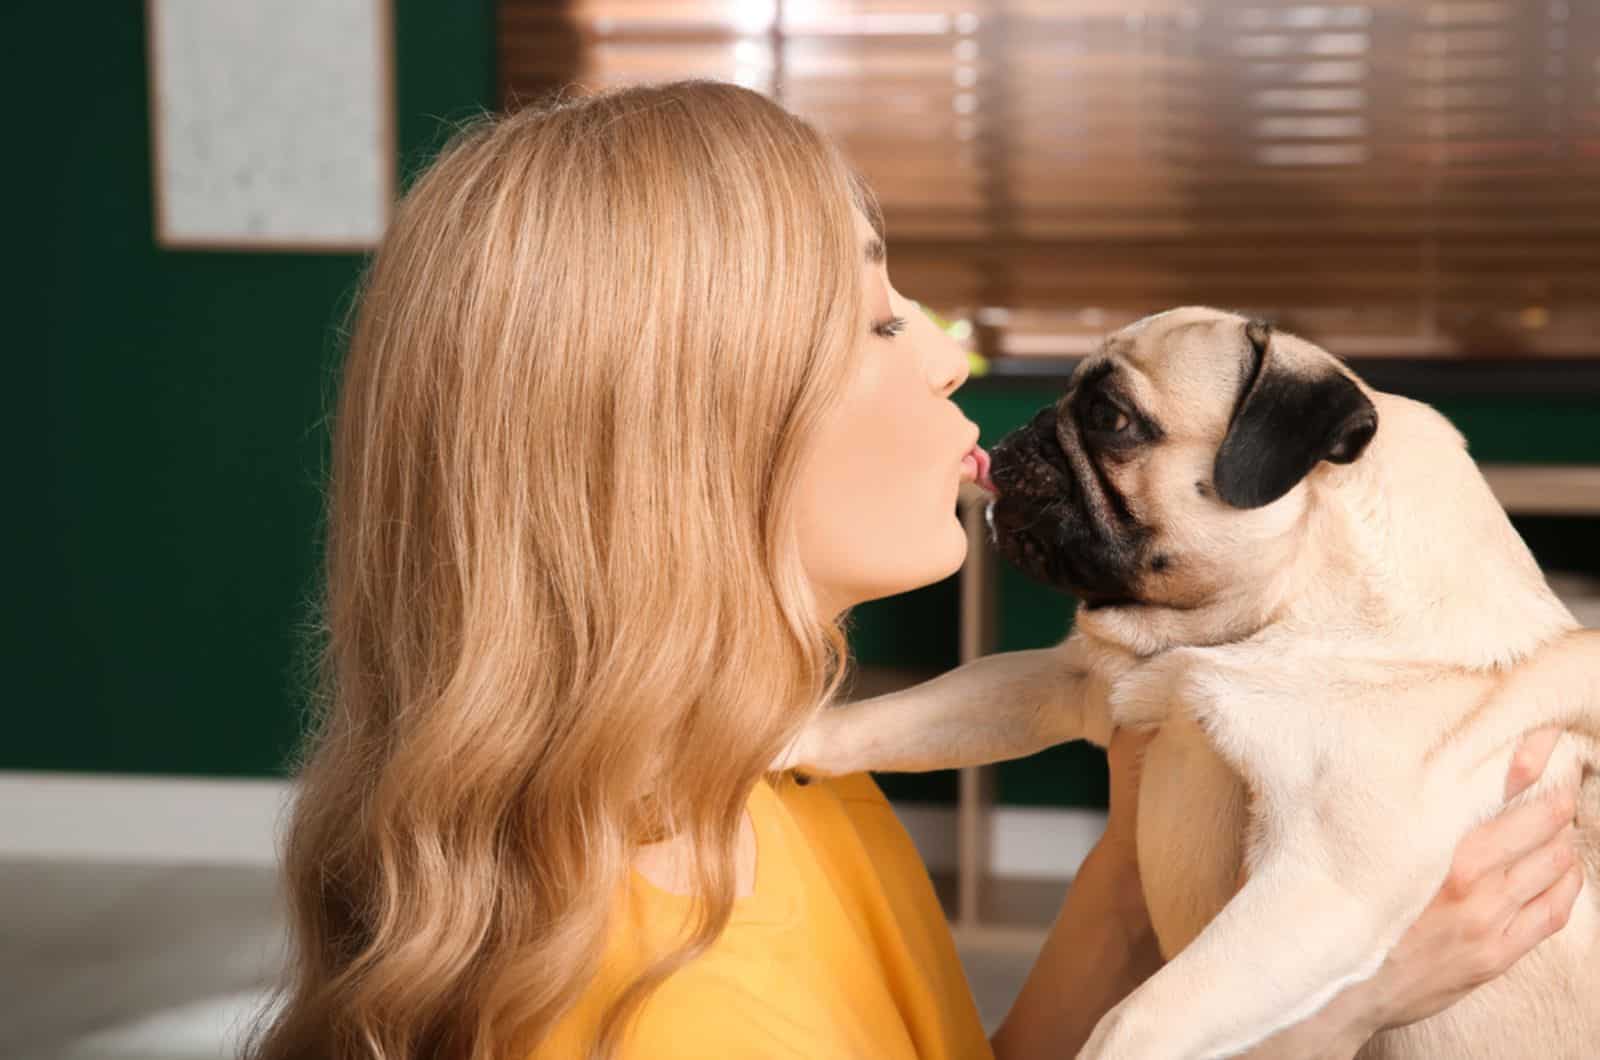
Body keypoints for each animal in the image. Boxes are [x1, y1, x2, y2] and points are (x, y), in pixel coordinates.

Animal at [777, 305, 1600, 1056]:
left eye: (1110, 418)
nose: (1019, 435)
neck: (1241, 628)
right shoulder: (1079, 677)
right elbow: (911, 713)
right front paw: (793, 737)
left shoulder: (1326, 884)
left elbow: (1138, 1018)